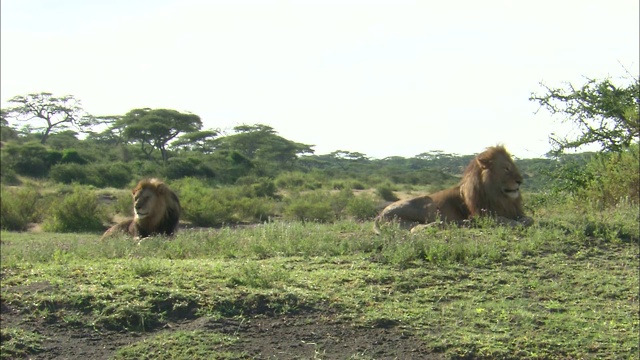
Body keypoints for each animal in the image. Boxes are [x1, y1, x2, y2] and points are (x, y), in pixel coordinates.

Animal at [372, 145, 532, 235]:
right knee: (416, 228)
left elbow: (529, 219)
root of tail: (379, 215)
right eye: (506, 169)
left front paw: (524, 221)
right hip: (427, 204)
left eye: (514, 166)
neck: (501, 198)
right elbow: (503, 220)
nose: (520, 181)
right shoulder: (483, 215)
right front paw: (517, 224)